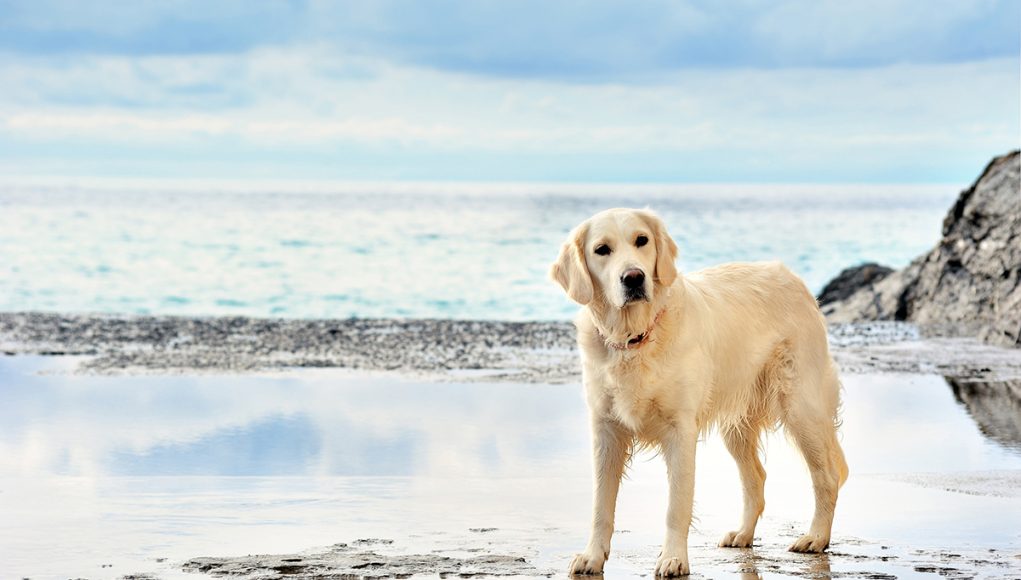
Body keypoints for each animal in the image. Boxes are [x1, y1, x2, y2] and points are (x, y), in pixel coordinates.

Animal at [555, 208, 849, 575]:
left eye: (642, 240)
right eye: (601, 250)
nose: (634, 278)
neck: (635, 338)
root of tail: (792, 277)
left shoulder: (680, 430)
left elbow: (676, 506)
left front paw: (673, 558)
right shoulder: (606, 431)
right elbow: (600, 506)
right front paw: (592, 556)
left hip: (801, 407)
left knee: (826, 476)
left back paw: (816, 537)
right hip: (737, 425)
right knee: (756, 478)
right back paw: (743, 534)